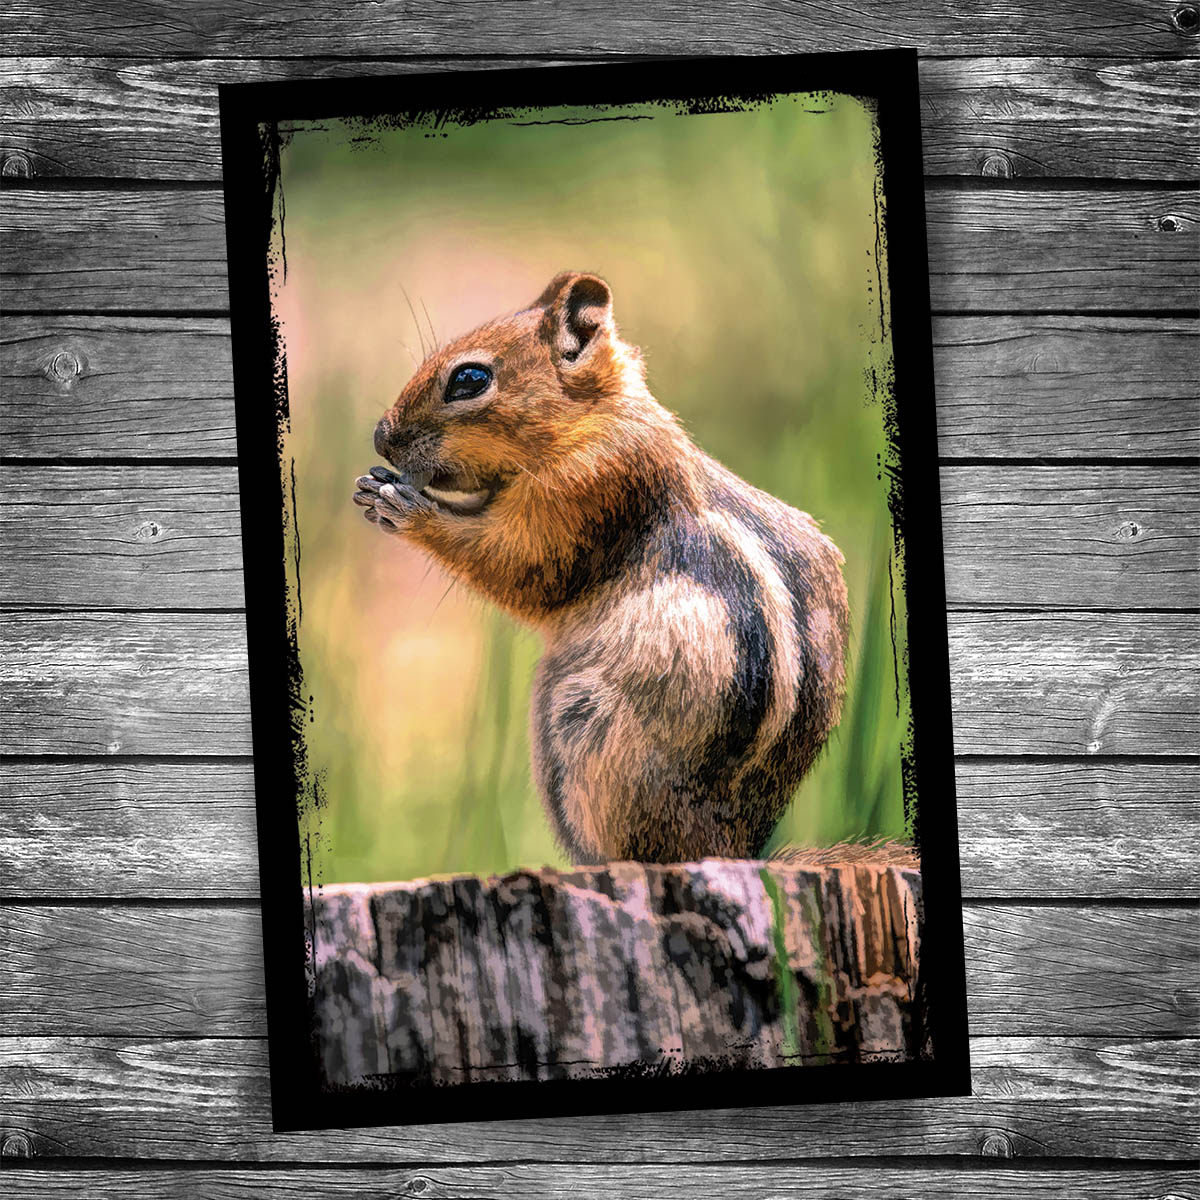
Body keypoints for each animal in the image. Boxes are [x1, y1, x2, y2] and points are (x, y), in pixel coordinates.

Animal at [353, 271, 863, 866]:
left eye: (469, 379)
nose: (381, 438)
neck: (594, 418)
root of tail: (732, 851)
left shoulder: (589, 489)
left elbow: (521, 567)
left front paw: (402, 507)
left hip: (585, 733)